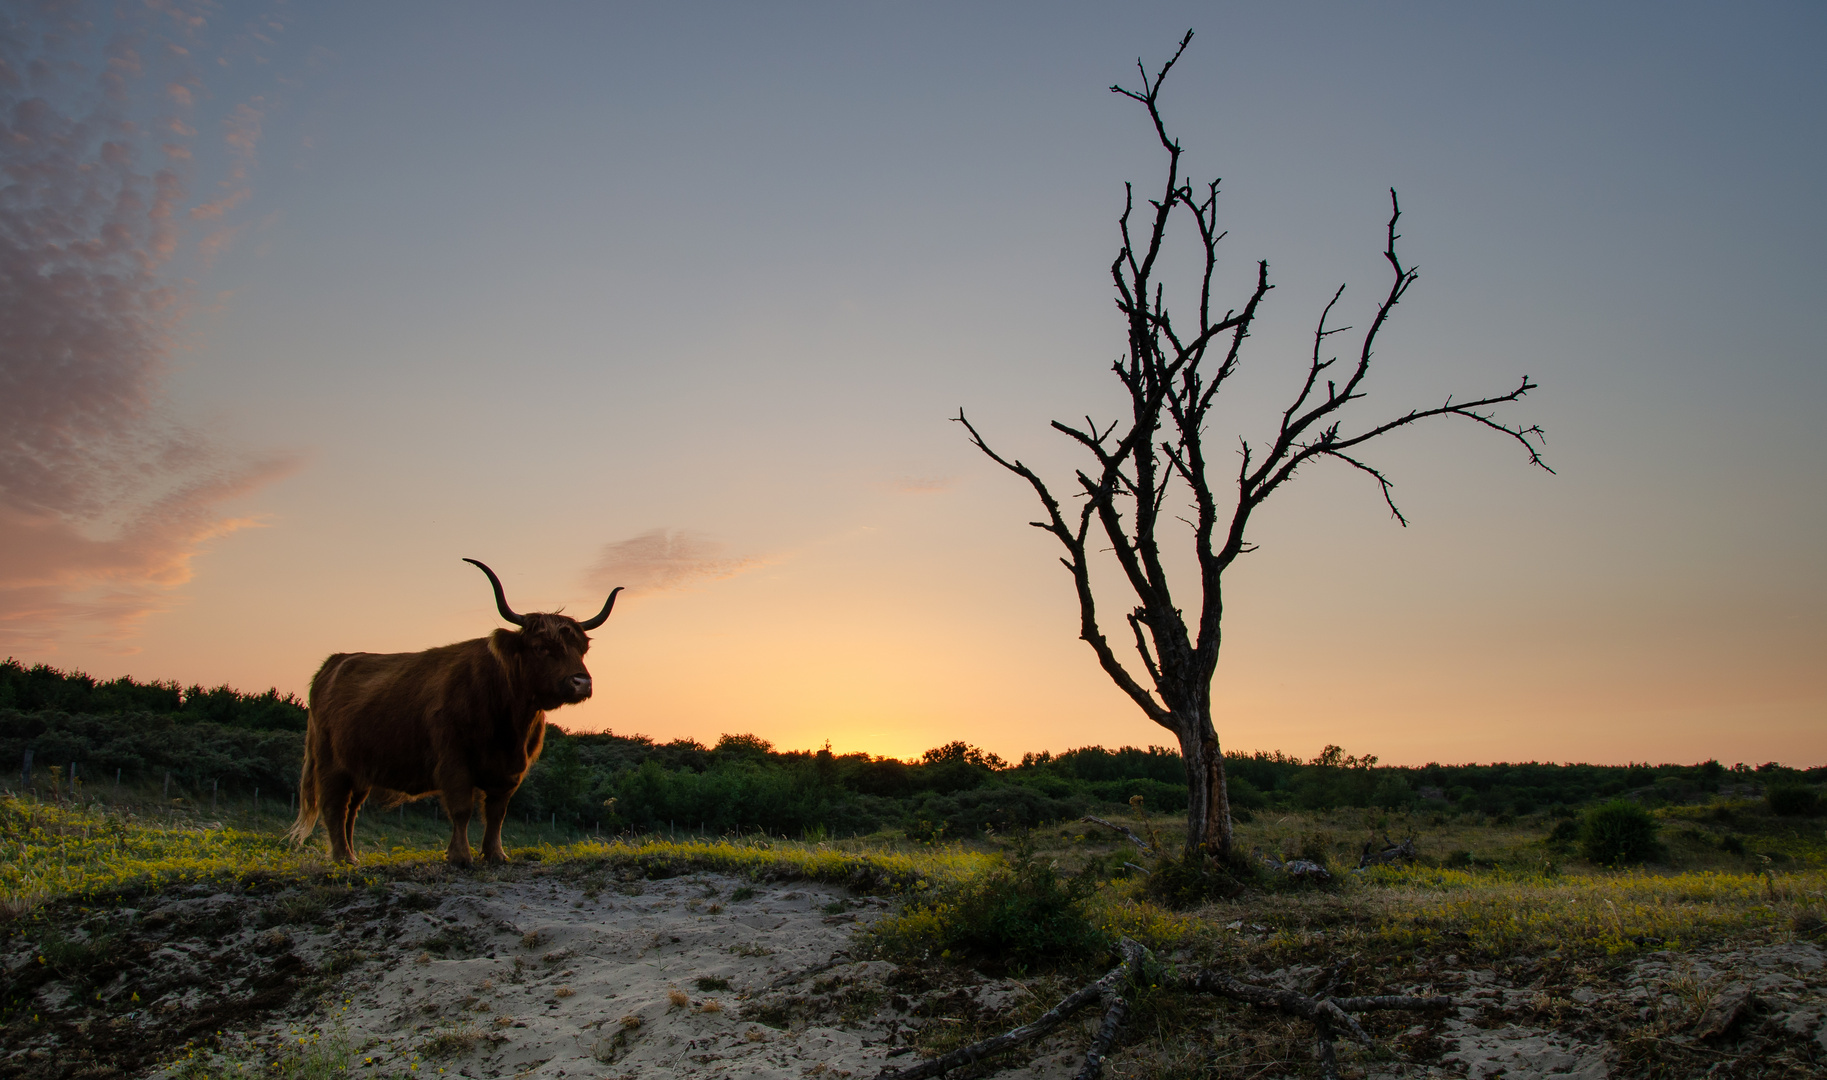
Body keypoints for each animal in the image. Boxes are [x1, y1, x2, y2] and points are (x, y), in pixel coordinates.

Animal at [286, 562, 621, 866]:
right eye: (541, 647)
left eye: (581, 648)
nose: (581, 682)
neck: (509, 719)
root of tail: (335, 662)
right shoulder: (454, 761)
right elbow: (461, 809)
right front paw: (460, 856)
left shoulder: (510, 770)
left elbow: (496, 813)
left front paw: (495, 854)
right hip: (331, 762)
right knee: (335, 806)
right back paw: (343, 858)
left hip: (360, 767)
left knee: (351, 809)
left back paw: (353, 856)